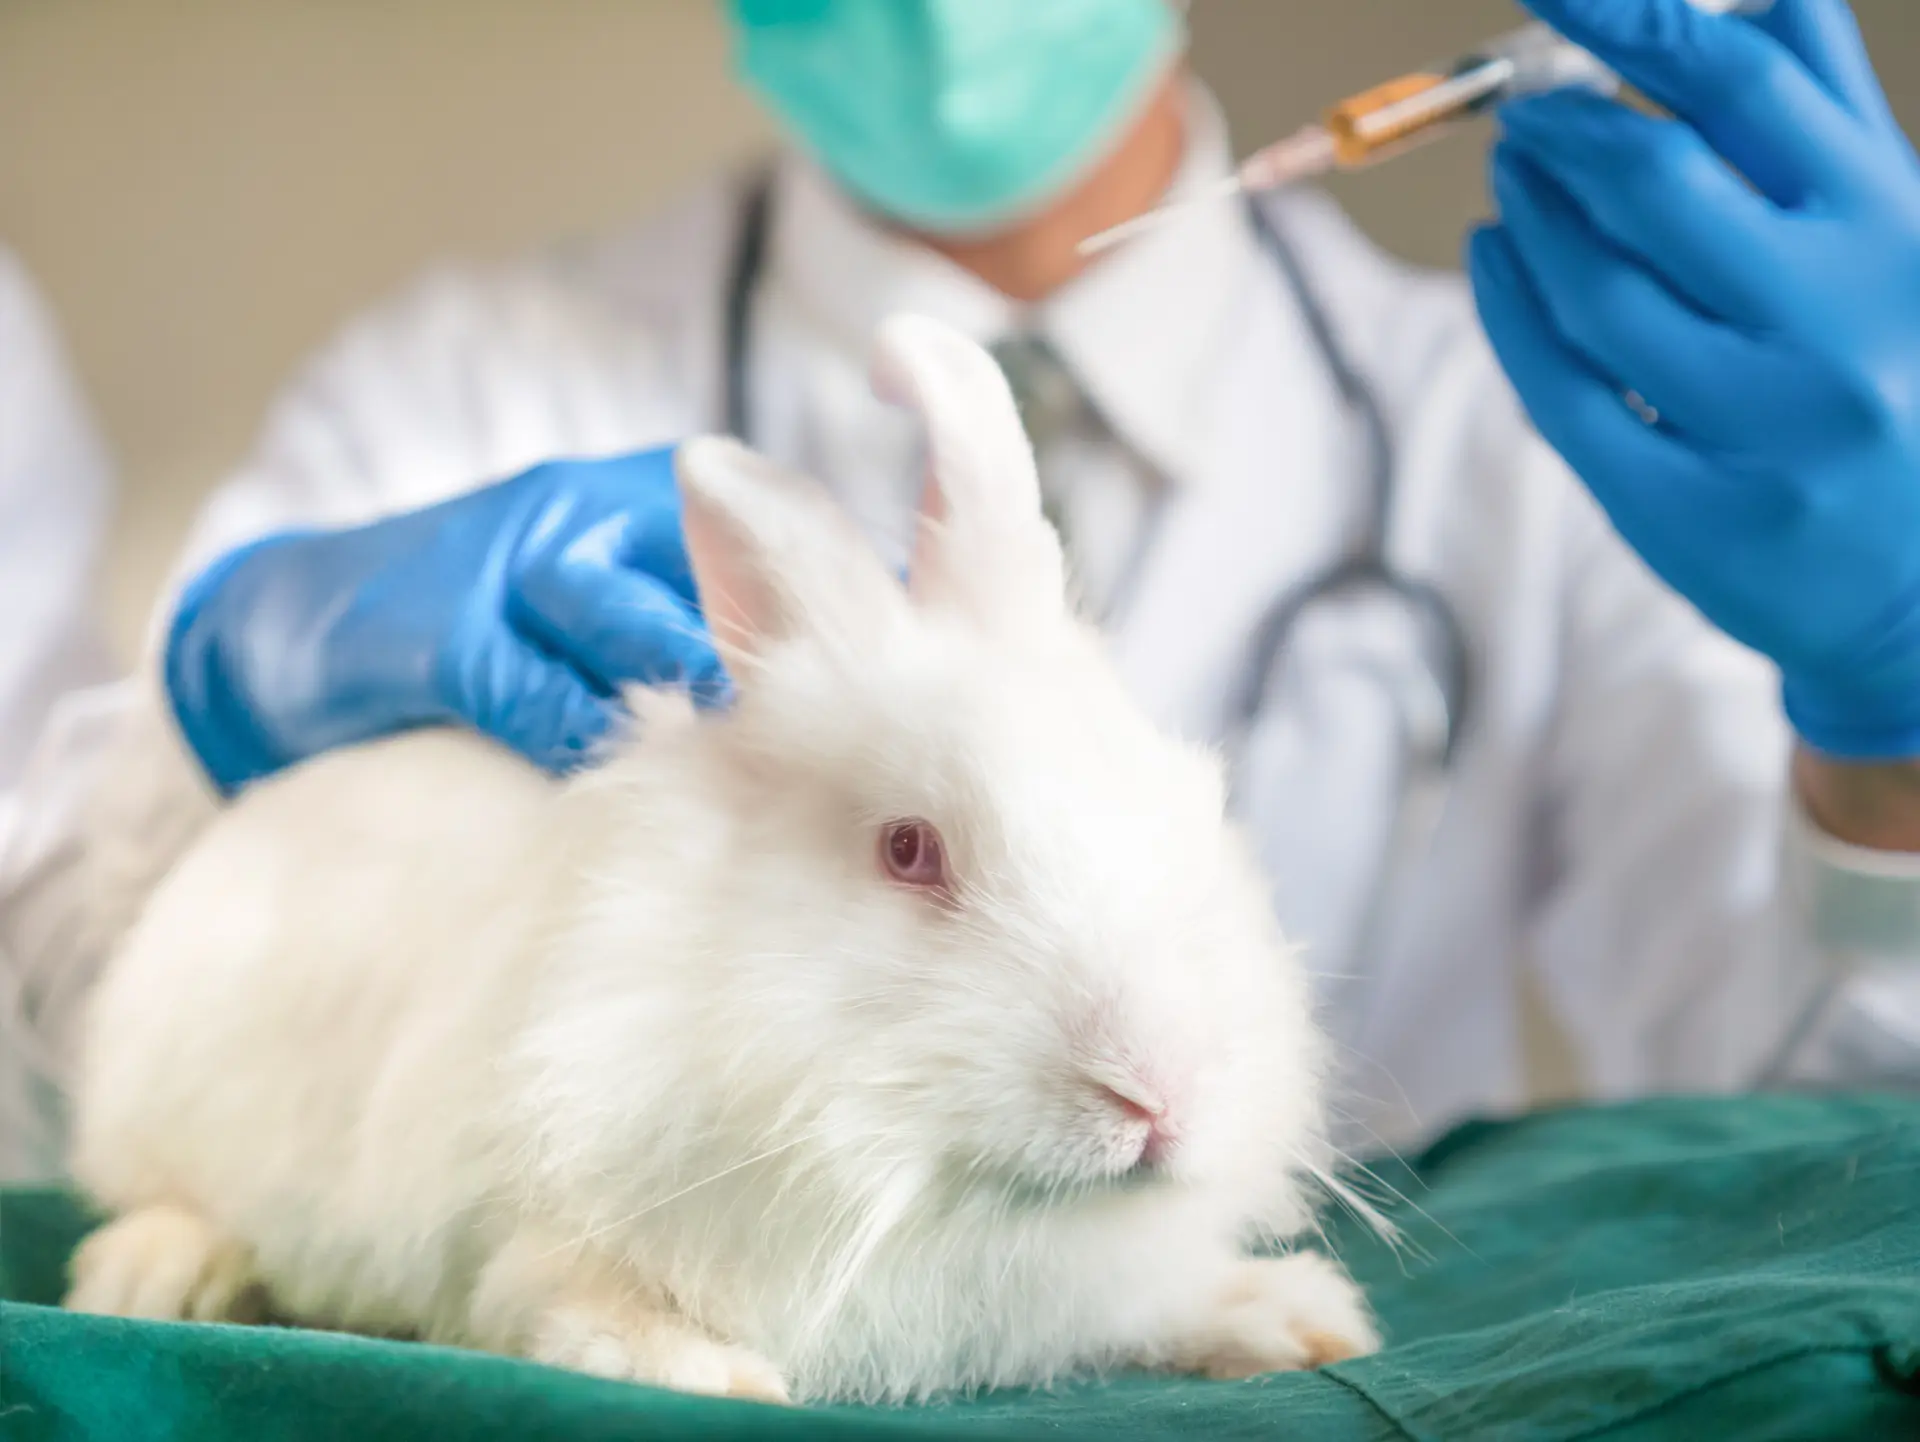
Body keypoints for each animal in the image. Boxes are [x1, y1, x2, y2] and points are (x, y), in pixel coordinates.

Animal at [63, 312, 1382, 1397]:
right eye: (910, 849)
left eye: (1193, 796)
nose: (1159, 1094)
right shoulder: (526, 1230)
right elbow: (565, 1305)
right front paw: (714, 1374)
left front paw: (1297, 1315)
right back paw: (155, 1273)